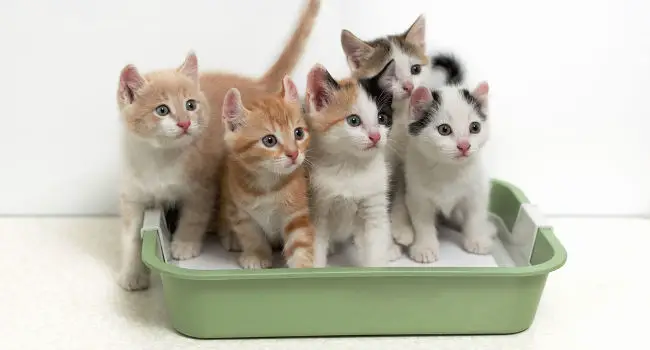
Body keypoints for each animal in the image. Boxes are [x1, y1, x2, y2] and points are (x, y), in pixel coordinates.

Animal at [216, 76, 316, 268]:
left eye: (298, 133)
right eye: (269, 140)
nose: (294, 154)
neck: (268, 182)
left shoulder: (296, 211)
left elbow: (300, 239)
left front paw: (302, 266)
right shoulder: (240, 212)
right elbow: (250, 234)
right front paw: (256, 254)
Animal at [304, 60, 400, 268]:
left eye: (382, 118)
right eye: (353, 120)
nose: (376, 136)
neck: (351, 167)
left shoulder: (374, 204)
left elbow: (376, 242)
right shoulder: (317, 208)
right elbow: (314, 246)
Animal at [392, 82, 494, 262]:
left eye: (475, 127)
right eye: (444, 129)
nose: (464, 146)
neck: (448, 169)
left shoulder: (478, 189)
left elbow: (476, 215)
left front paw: (477, 240)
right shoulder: (417, 196)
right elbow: (422, 223)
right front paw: (425, 248)